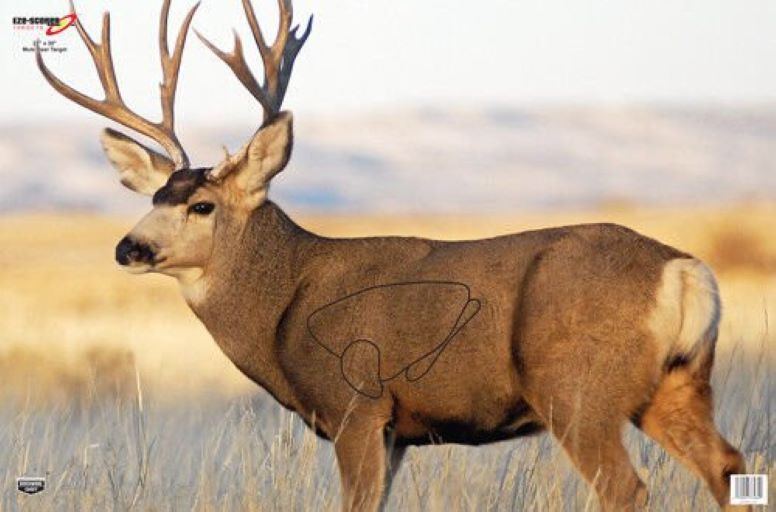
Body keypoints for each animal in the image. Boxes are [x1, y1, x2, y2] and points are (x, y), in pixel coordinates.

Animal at [36, 1, 748, 510]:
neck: (284, 305)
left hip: (577, 391)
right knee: (730, 466)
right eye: (156, 194)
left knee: (629, 488)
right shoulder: (400, 431)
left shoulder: (357, 405)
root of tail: (684, 271)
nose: (129, 246)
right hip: (676, 384)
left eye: (203, 206)